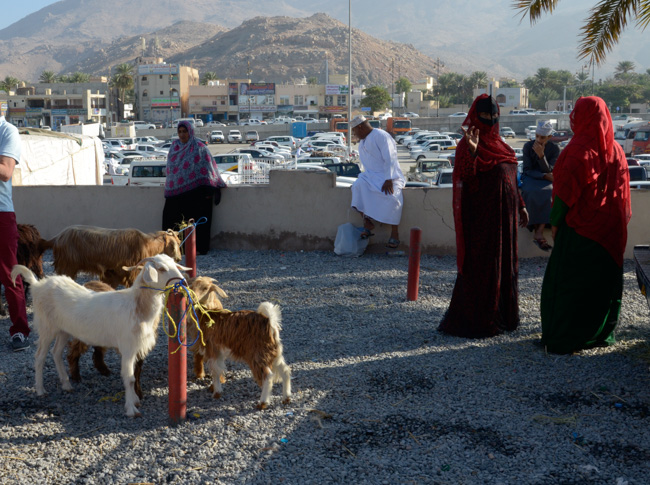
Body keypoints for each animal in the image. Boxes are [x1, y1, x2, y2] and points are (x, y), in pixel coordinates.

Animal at [11, 253, 190, 416]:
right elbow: (129, 378)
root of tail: (37, 285)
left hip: (63, 330)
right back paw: (41, 390)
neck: (137, 306)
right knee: (40, 356)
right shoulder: (128, 347)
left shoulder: (135, 348)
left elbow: (133, 375)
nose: (184, 282)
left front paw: (135, 401)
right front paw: (131, 409)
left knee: (56, 352)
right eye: (161, 268)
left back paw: (66, 385)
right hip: (47, 327)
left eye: (174, 263)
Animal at [41, 226, 181, 290]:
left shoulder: (112, 273)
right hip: (67, 266)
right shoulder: (130, 274)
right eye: (177, 244)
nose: (179, 258)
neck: (146, 244)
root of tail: (57, 238)